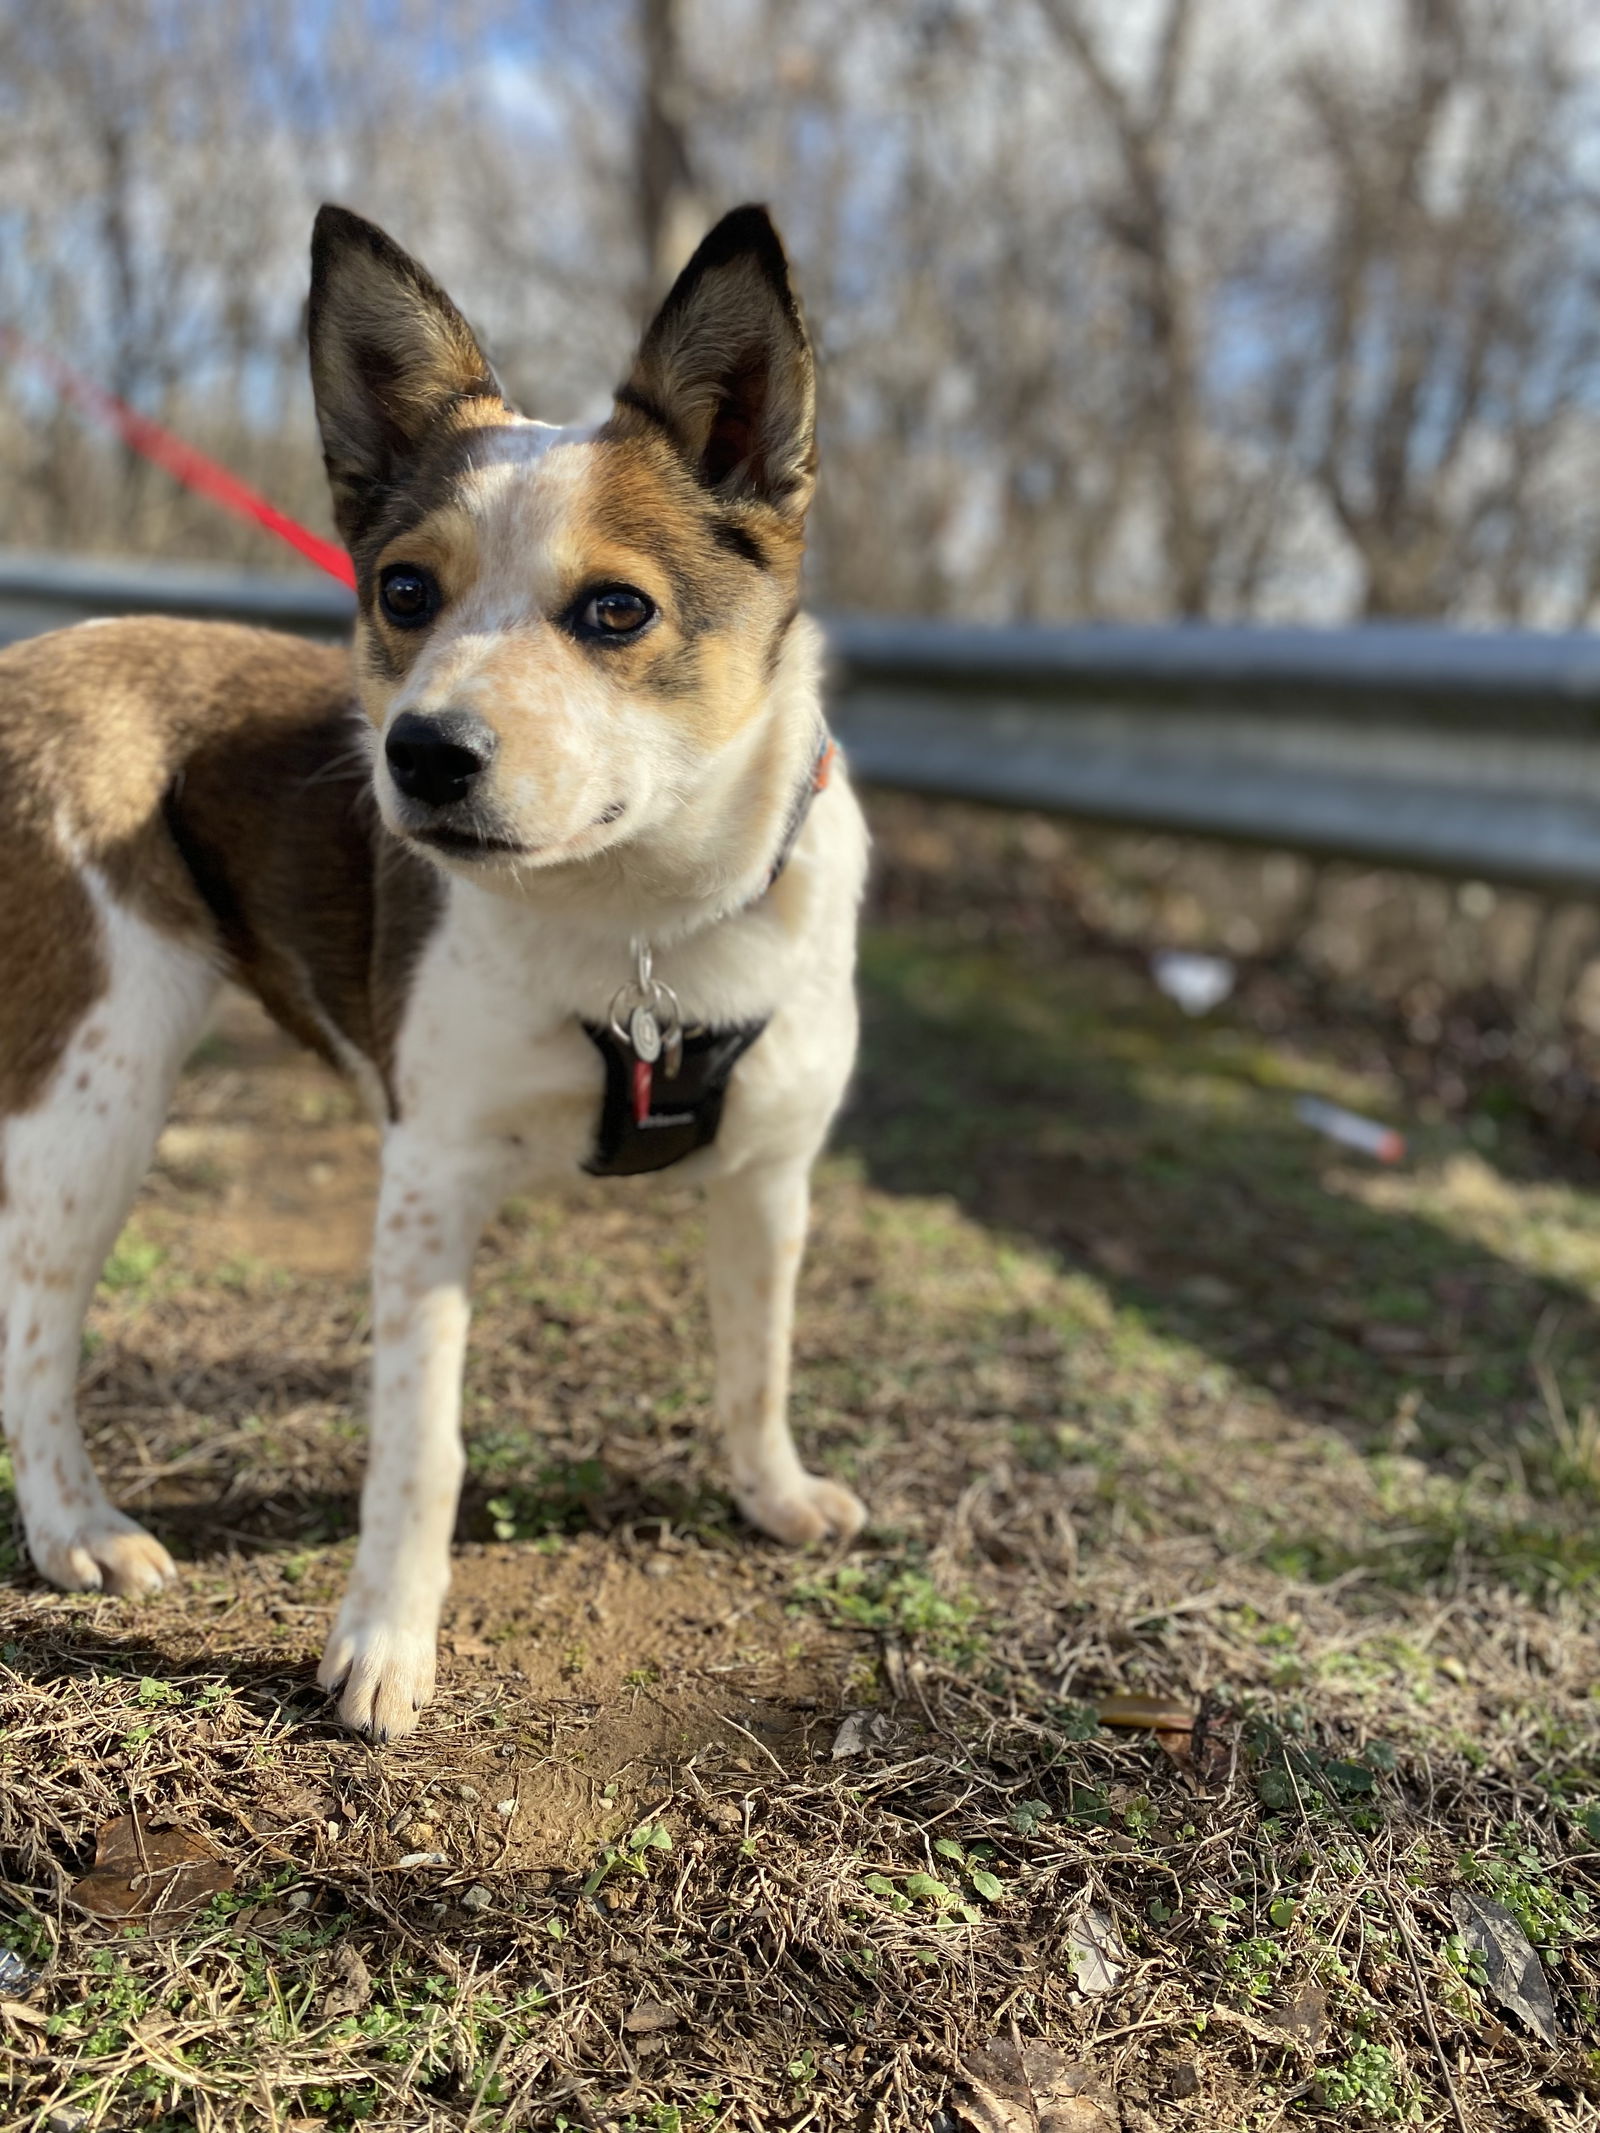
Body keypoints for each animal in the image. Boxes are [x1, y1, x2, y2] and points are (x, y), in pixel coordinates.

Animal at [0, 200, 870, 1731]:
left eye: (616, 612)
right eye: (405, 590)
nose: (421, 756)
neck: (642, 920)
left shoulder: (770, 1178)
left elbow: (755, 1360)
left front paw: (771, 1494)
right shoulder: (431, 1185)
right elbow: (423, 1454)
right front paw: (385, 1643)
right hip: (96, 1089)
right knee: (32, 1321)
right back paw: (75, 1529)